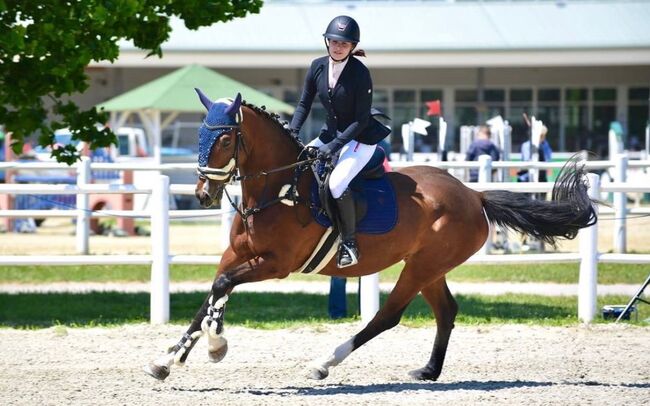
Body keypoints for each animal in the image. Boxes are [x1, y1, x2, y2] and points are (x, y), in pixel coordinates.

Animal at [143, 90, 596, 382]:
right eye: (198, 136)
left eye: (223, 138)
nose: (202, 193)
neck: (277, 190)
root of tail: (473, 194)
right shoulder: (235, 255)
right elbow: (212, 294)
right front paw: (169, 359)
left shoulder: (276, 265)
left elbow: (221, 288)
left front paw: (216, 344)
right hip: (429, 267)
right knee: (445, 311)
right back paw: (428, 371)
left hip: (420, 267)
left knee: (388, 315)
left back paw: (324, 363)